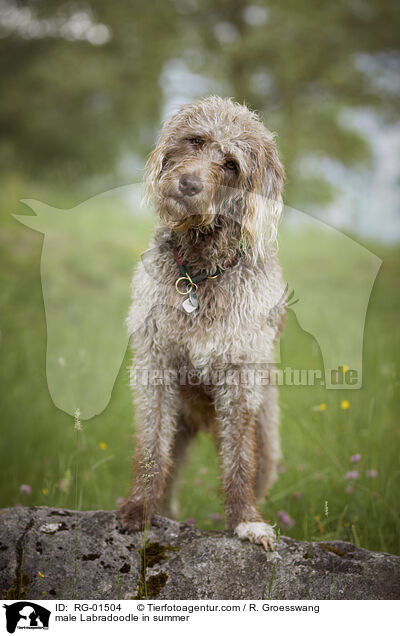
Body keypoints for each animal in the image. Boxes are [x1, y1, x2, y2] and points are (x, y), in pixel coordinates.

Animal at [117, 97, 286, 548]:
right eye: (196, 140)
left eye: (231, 164)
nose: (189, 184)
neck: (199, 273)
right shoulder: (156, 367)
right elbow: (152, 449)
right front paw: (140, 509)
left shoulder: (240, 380)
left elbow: (238, 460)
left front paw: (246, 520)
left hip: (268, 439)